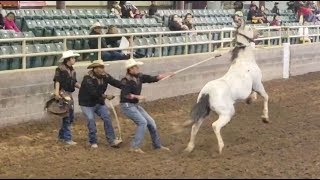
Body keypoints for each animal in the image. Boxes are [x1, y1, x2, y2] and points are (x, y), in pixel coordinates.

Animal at [184, 20, 268, 155]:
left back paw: (189, 147)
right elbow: (265, 97)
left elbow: (253, 95)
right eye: (249, 28)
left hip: (204, 113)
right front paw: (265, 117)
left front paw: (250, 100)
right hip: (226, 113)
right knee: (215, 126)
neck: (245, 61)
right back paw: (221, 147)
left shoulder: (253, 87)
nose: (259, 32)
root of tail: (207, 94)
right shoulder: (258, 84)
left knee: (194, 127)